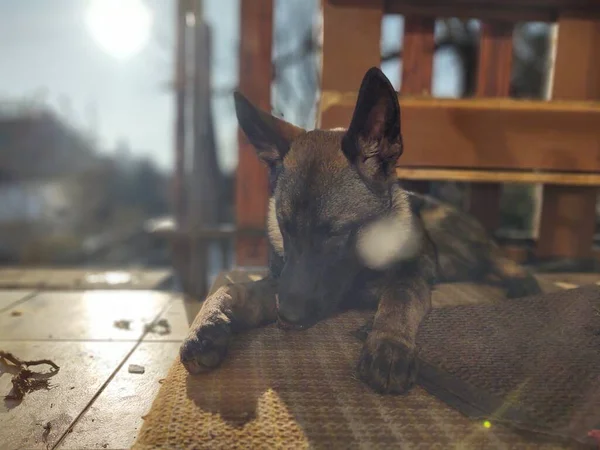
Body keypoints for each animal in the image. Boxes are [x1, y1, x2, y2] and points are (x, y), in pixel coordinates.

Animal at [180, 66, 540, 394]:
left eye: (335, 233)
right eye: (284, 227)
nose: (287, 318)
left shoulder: (413, 270)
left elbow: (400, 292)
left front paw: (389, 342)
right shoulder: (283, 283)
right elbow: (231, 289)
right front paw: (206, 326)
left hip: (446, 233)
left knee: (497, 259)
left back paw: (522, 282)